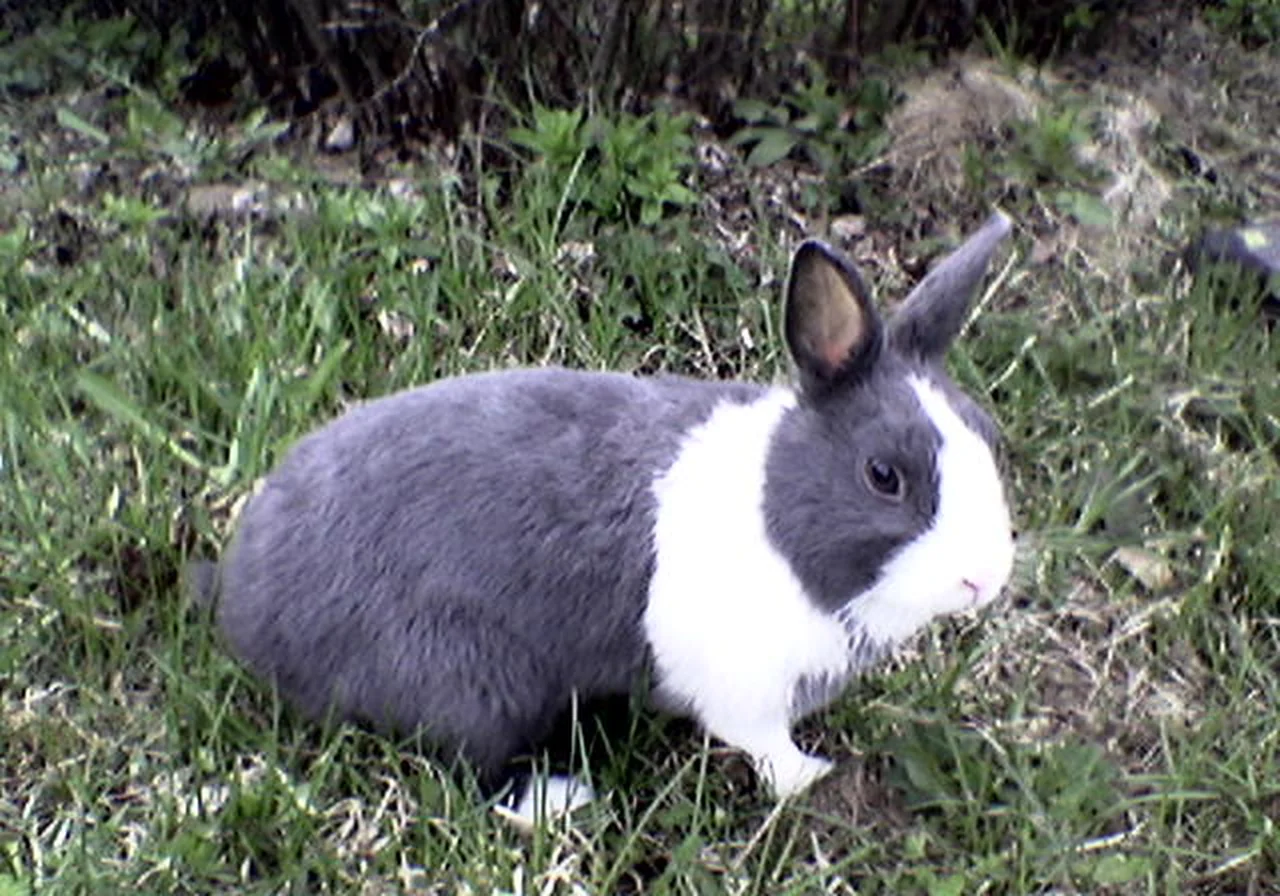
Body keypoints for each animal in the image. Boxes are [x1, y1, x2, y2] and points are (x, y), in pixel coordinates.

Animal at [195, 211, 1017, 818]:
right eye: (884, 475)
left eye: (988, 436)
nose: (983, 579)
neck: (778, 516)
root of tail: (246, 609)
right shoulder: (736, 685)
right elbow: (758, 739)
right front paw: (809, 777)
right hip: (466, 681)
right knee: (470, 774)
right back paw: (563, 799)